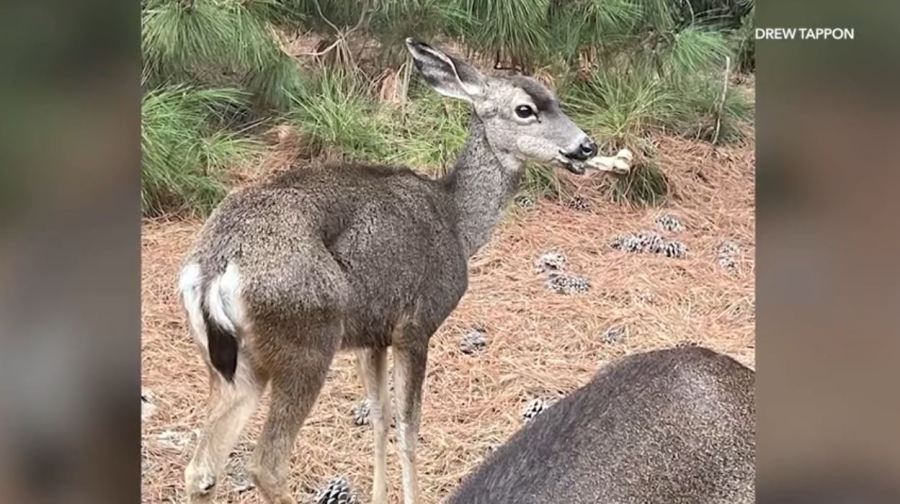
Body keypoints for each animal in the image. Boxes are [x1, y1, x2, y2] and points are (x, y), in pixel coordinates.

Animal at [177, 39, 600, 504]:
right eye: (525, 109)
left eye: (555, 98)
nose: (587, 146)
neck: (457, 222)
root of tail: (214, 265)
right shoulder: (415, 325)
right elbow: (409, 428)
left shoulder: (371, 335)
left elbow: (379, 418)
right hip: (306, 339)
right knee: (266, 464)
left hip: (232, 364)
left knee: (201, 468)